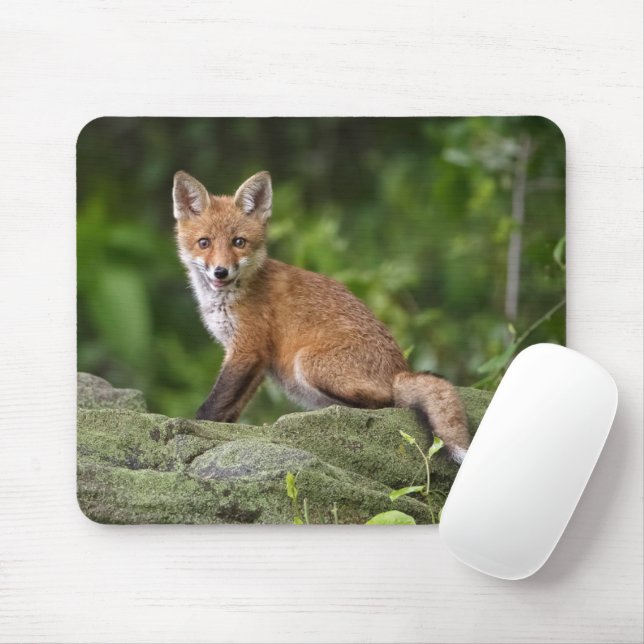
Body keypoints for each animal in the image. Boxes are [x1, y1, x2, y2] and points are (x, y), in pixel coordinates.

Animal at [173, 170, 471, 462]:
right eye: (204, 243)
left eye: (238, 242)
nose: (220, 271)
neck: (233, 294)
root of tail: (400, 371)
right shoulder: (257, 359)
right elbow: (232, 406)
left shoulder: (248, 347)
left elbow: (213, 403)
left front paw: (194, 426)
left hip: (306, 362)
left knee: (384, 403)